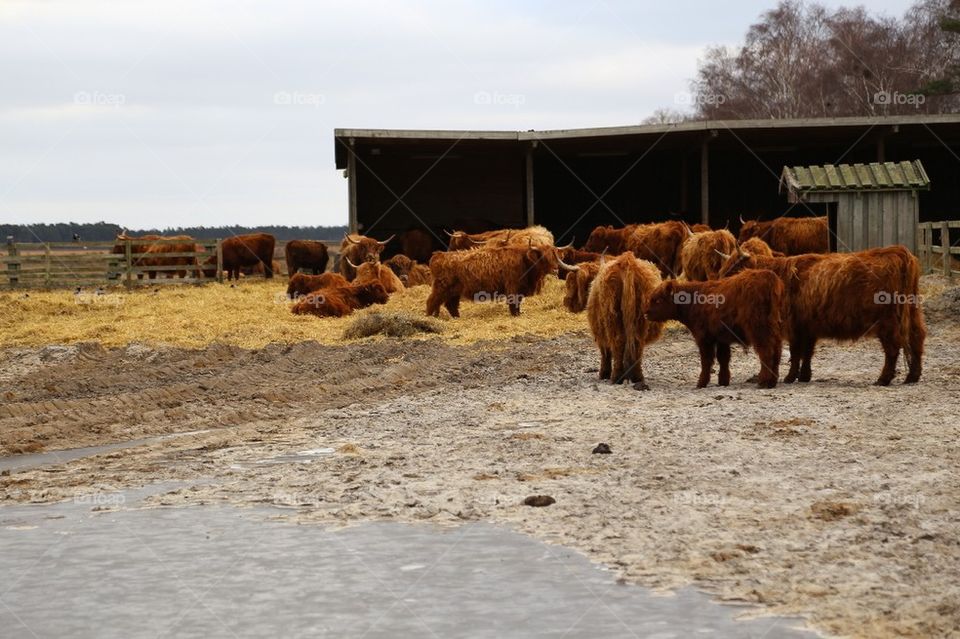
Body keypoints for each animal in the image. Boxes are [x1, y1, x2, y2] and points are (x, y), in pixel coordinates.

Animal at [430, 245, 576, 318]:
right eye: (543, 258)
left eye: (556, 256)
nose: (555, 270)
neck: (525, 262)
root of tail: (438, 255)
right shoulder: (513, 288)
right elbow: (514, 303)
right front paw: (515, 315)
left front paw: (518, 314)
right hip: (441, 288)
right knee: (432, 301)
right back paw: (430, 316)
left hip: (454, 291)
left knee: (450, 305)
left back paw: (456, 317)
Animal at [580, 255, 664, 390]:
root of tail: (627, 260)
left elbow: (606, 352)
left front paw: (604, 374)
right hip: (640, 317)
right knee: (637, 343)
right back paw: (637, 377)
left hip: (612, 315)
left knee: (618, 342)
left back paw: (616, 377)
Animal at [644, 270, 788, 390]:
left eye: (658, 300)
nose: (645, 313)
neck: (693, 301)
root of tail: (768, 276)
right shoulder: (721, 338)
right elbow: (723, 358)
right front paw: (723, 381)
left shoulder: (704, 338)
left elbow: (706, 361)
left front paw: (701, 383)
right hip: (774, 330)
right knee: (777, 352)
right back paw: (772, 382)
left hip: (759, 330)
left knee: (766, 352)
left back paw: (763, 382)